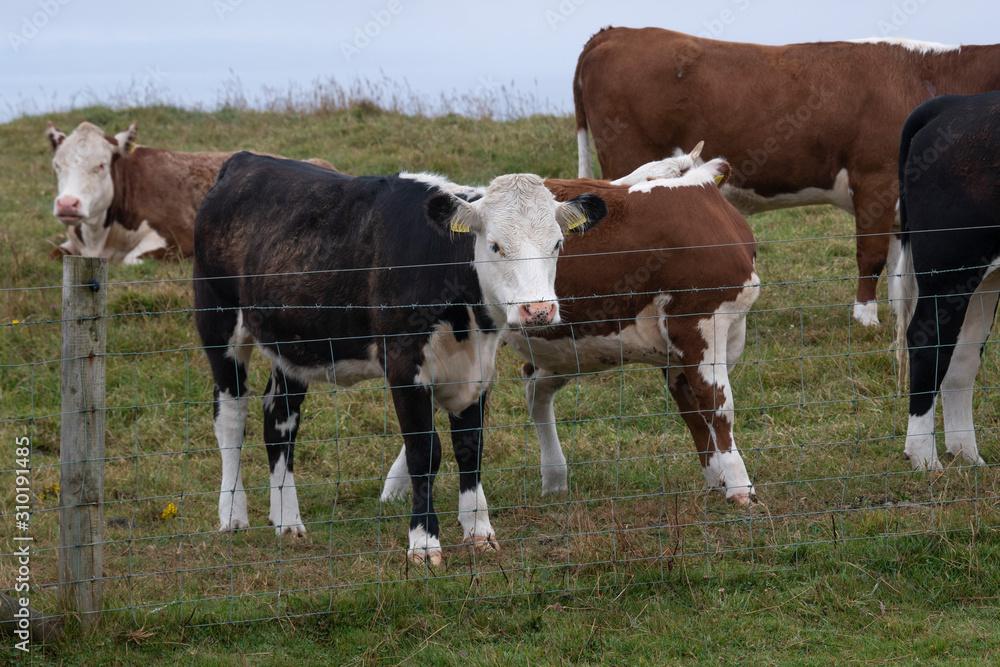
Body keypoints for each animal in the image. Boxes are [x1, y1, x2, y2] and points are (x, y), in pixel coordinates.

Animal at [191, 154, 604, 568]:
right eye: (495, 245)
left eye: (557, 243)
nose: (538, 310)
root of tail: (248, 160)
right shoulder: (404, 368)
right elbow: (425, 452)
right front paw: (423, 543)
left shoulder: (479, 371)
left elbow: (470, 447)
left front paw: (479, 532)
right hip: (219, 324)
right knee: (230, 416)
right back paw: (233, 515)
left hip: (292, 345)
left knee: (279, 420)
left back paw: (287, 521)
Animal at [380, 153, 756, 506]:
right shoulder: (698, 324)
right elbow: (717, 406)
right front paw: (740, 488)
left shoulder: (690, 347)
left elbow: (693, 411)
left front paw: (716, 479)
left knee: (528, 388)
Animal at [576, 26, 1000, 326]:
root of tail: (616, 32)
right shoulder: (875, 180)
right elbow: (872, 255)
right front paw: (865, 318)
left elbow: (899, 263)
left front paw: (897, 313)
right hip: (629, 165)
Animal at [892, 91, 1000, 472]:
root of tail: (953, 102)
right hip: (950, 270)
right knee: (928, 342)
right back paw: (925, 458)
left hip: (984, 279)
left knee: (963, 354)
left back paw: (966, 453)